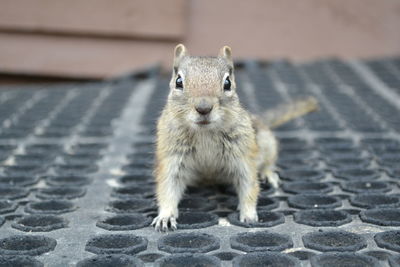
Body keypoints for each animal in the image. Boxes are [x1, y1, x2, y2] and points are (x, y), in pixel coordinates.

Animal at [152, 44, 318, 232]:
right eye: (178, 81)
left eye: (227, 83)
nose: (203, 108)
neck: (205, 133)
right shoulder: (172, 157)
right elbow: (168, 187)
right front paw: (165, 216)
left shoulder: (242, 156)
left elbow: (249, 184)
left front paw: (249, 214)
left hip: (267, 143)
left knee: (268, 162)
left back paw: (268, 173)